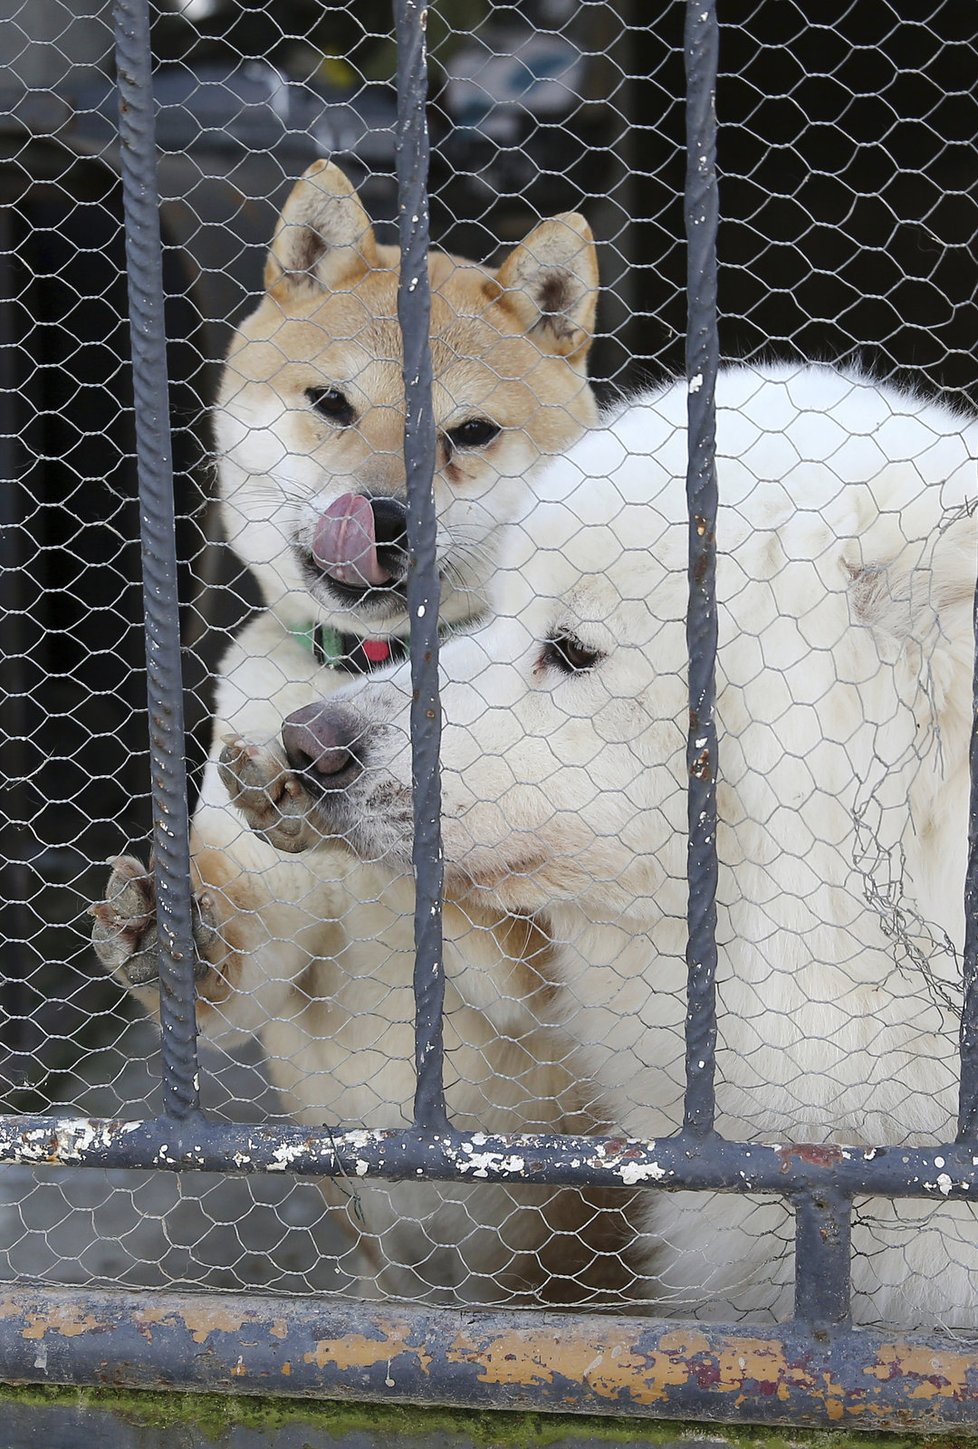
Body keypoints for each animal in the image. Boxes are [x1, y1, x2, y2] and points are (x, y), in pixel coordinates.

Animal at [88, 164, 631, 1309]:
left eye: (469, 433)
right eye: (331, 403)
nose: (378, 515)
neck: (370, 668)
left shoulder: (563, 967)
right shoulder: (264, 942)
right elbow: (229, 972)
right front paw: (165, 929)